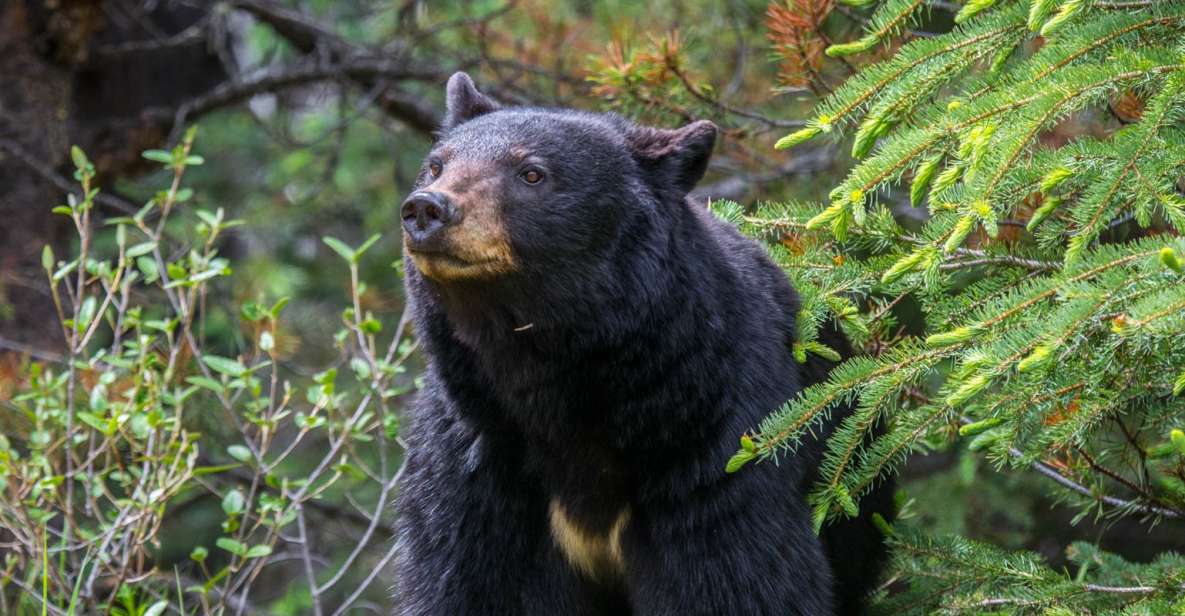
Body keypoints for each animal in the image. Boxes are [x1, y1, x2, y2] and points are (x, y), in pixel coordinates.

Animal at [393, 73, 891, 616]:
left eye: (531, 172)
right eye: (437, 164)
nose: (427, 208)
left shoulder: (713, 444)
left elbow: (734, 579)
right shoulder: (477, 461)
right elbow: (468, 581)